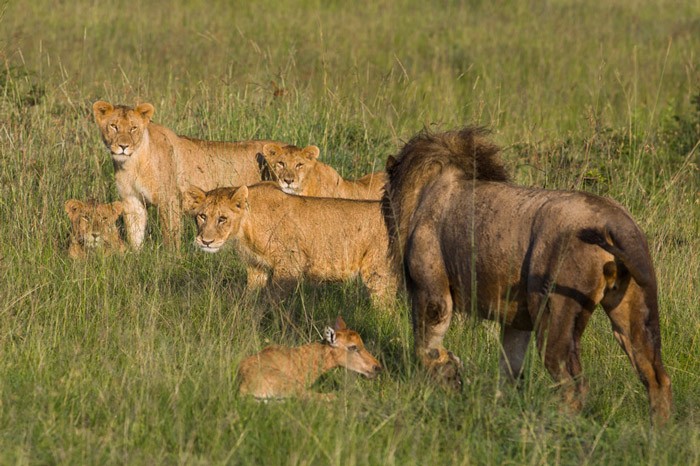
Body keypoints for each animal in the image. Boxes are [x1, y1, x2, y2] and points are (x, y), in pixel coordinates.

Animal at [93, 100, 284, 249]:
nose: (123, 146)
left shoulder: (169, 199)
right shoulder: (132, 200)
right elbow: (135, 235)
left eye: (133, 128)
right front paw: (136, 258)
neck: (132, 163)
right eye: (113, 126)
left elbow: (171, 235)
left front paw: (171, 261)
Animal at [183, 181, 396, 306]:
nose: (206, 241)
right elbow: (251, 297)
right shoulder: (256, 267)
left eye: (222, 219)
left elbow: (275, 300)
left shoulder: (289, 264)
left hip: (377, 273)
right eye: (202, 216)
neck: (246, 228)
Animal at [382, 127, 672, 426]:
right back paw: (659, 433)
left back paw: (556, 425)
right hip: (633, 310)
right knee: (656, 377)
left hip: (554, 313)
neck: (426, 191)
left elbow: (425, 346)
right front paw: (500, 411)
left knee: (574, 383)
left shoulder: (432, 292)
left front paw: (449, 375)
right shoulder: (517, 320)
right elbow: (510, 369)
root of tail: (616, 223)